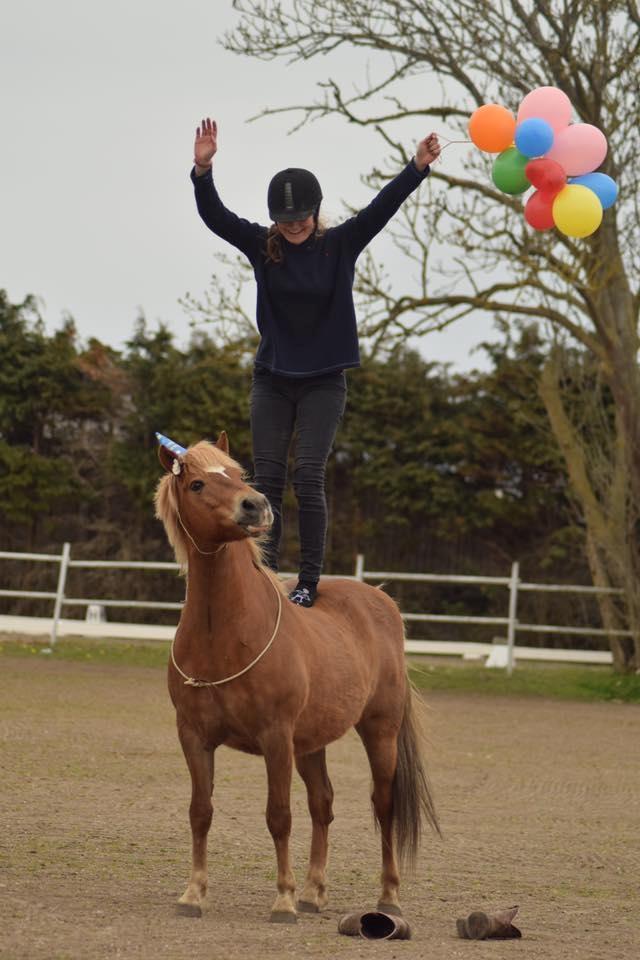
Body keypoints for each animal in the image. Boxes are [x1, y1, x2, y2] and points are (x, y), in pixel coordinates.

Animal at [154, 432, 440, 920]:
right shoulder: (192, 735)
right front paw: (193, 893)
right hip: (311, 742)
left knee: (383, 806)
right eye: (196, 484)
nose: (255, 506)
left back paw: (387, 896)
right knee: (322, 803)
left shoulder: (276, 736)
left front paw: (283, 898)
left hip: (379, 730)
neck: (223, 632)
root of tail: (381, 600)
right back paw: (313, 890)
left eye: (238, 474)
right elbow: (200, 811)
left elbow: (278, 815)